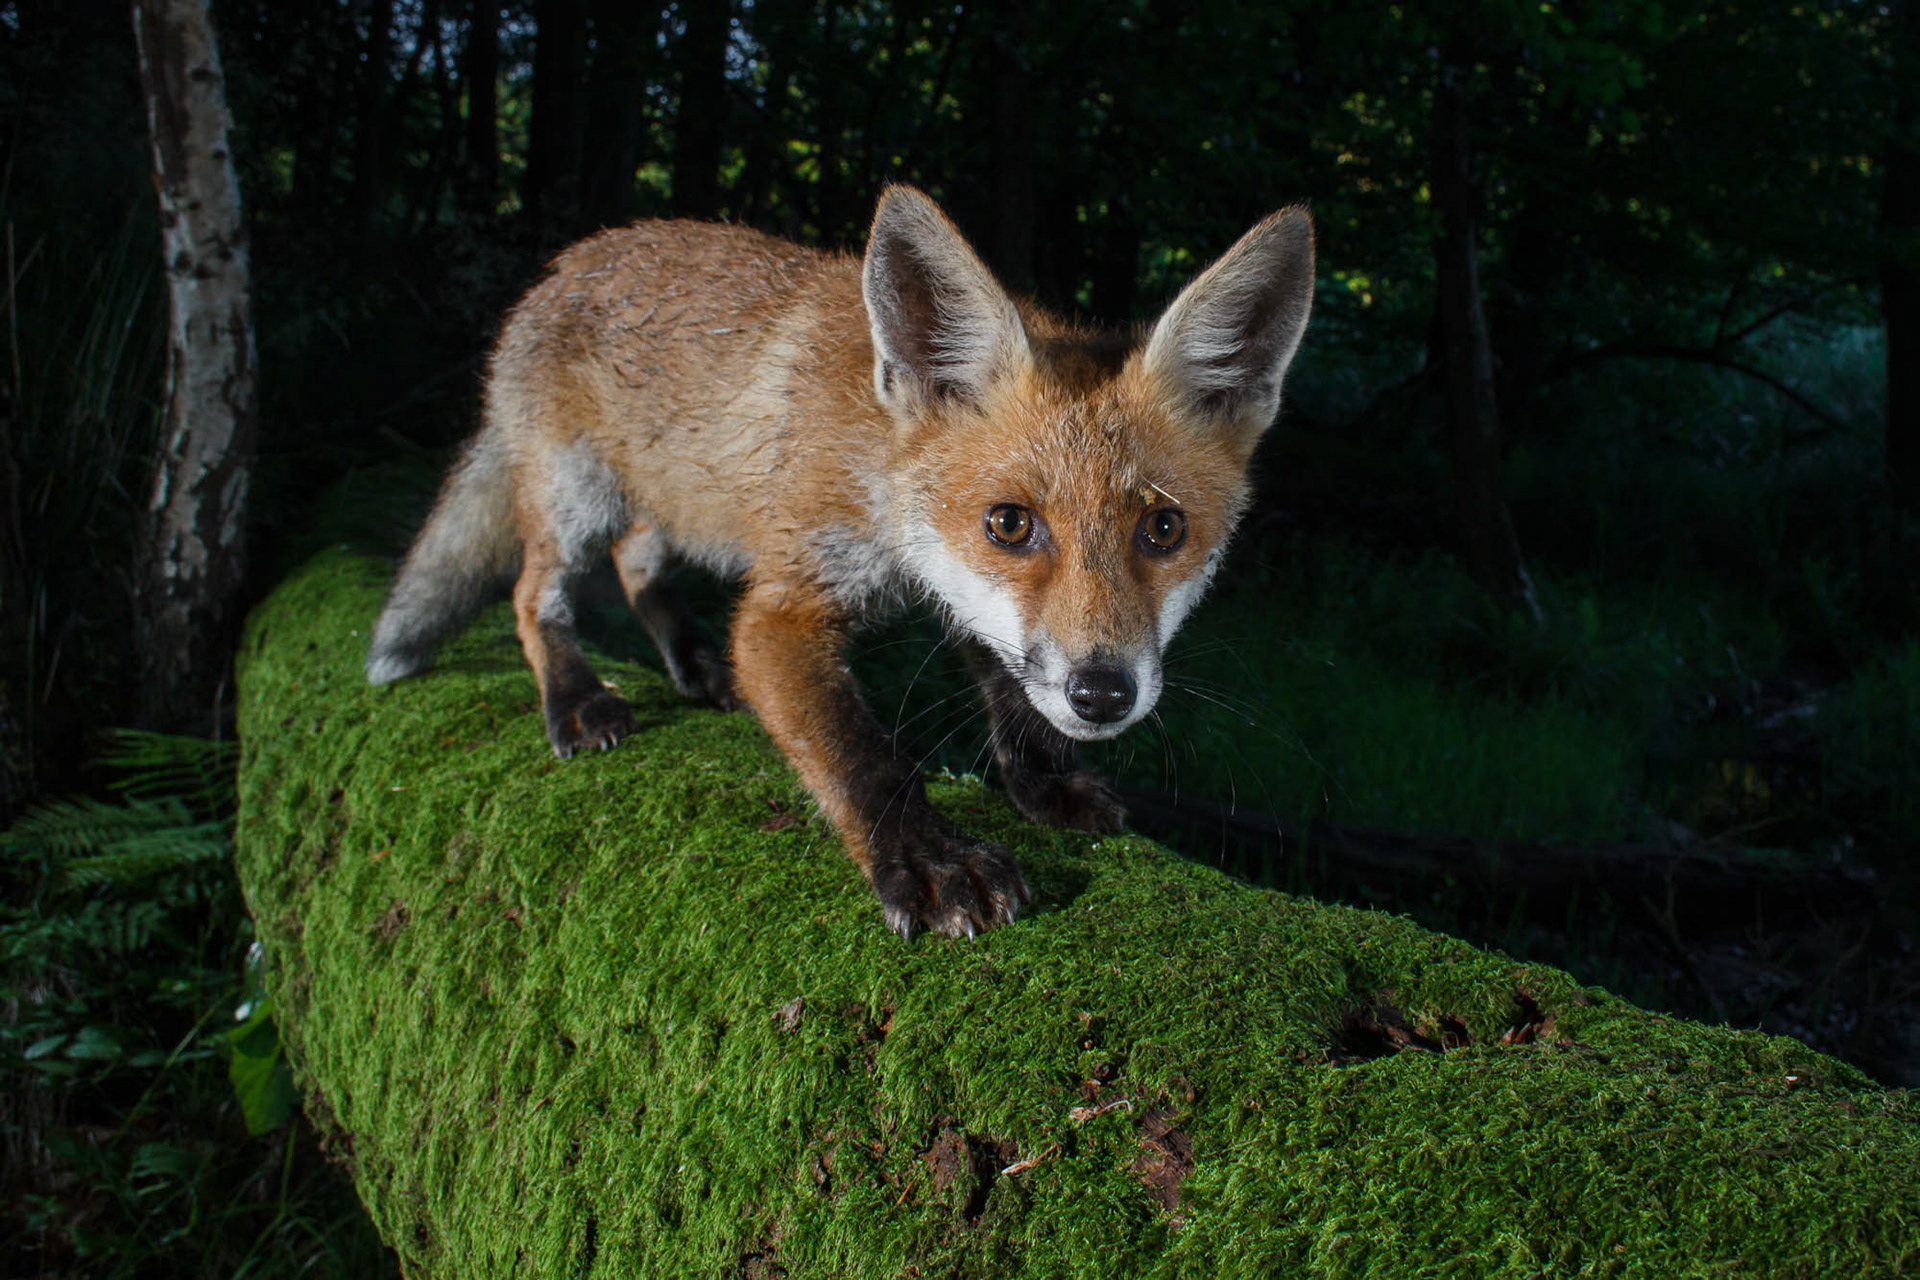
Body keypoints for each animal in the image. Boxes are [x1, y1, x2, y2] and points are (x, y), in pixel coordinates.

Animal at [366, 185, 1313, 940]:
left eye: (1163, 529)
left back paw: (696, 664)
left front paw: (1045, 784)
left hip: (679, 501)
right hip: (576, 500)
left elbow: (1011, 690)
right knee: (534, 595)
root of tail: (562, 265)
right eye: (1010, 525)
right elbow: (860, 751)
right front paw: (931, 861)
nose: (1104, 694)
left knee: (638, 565)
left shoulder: (956, 590)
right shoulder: (786, 605)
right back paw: (574, 699)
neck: (883, 470)